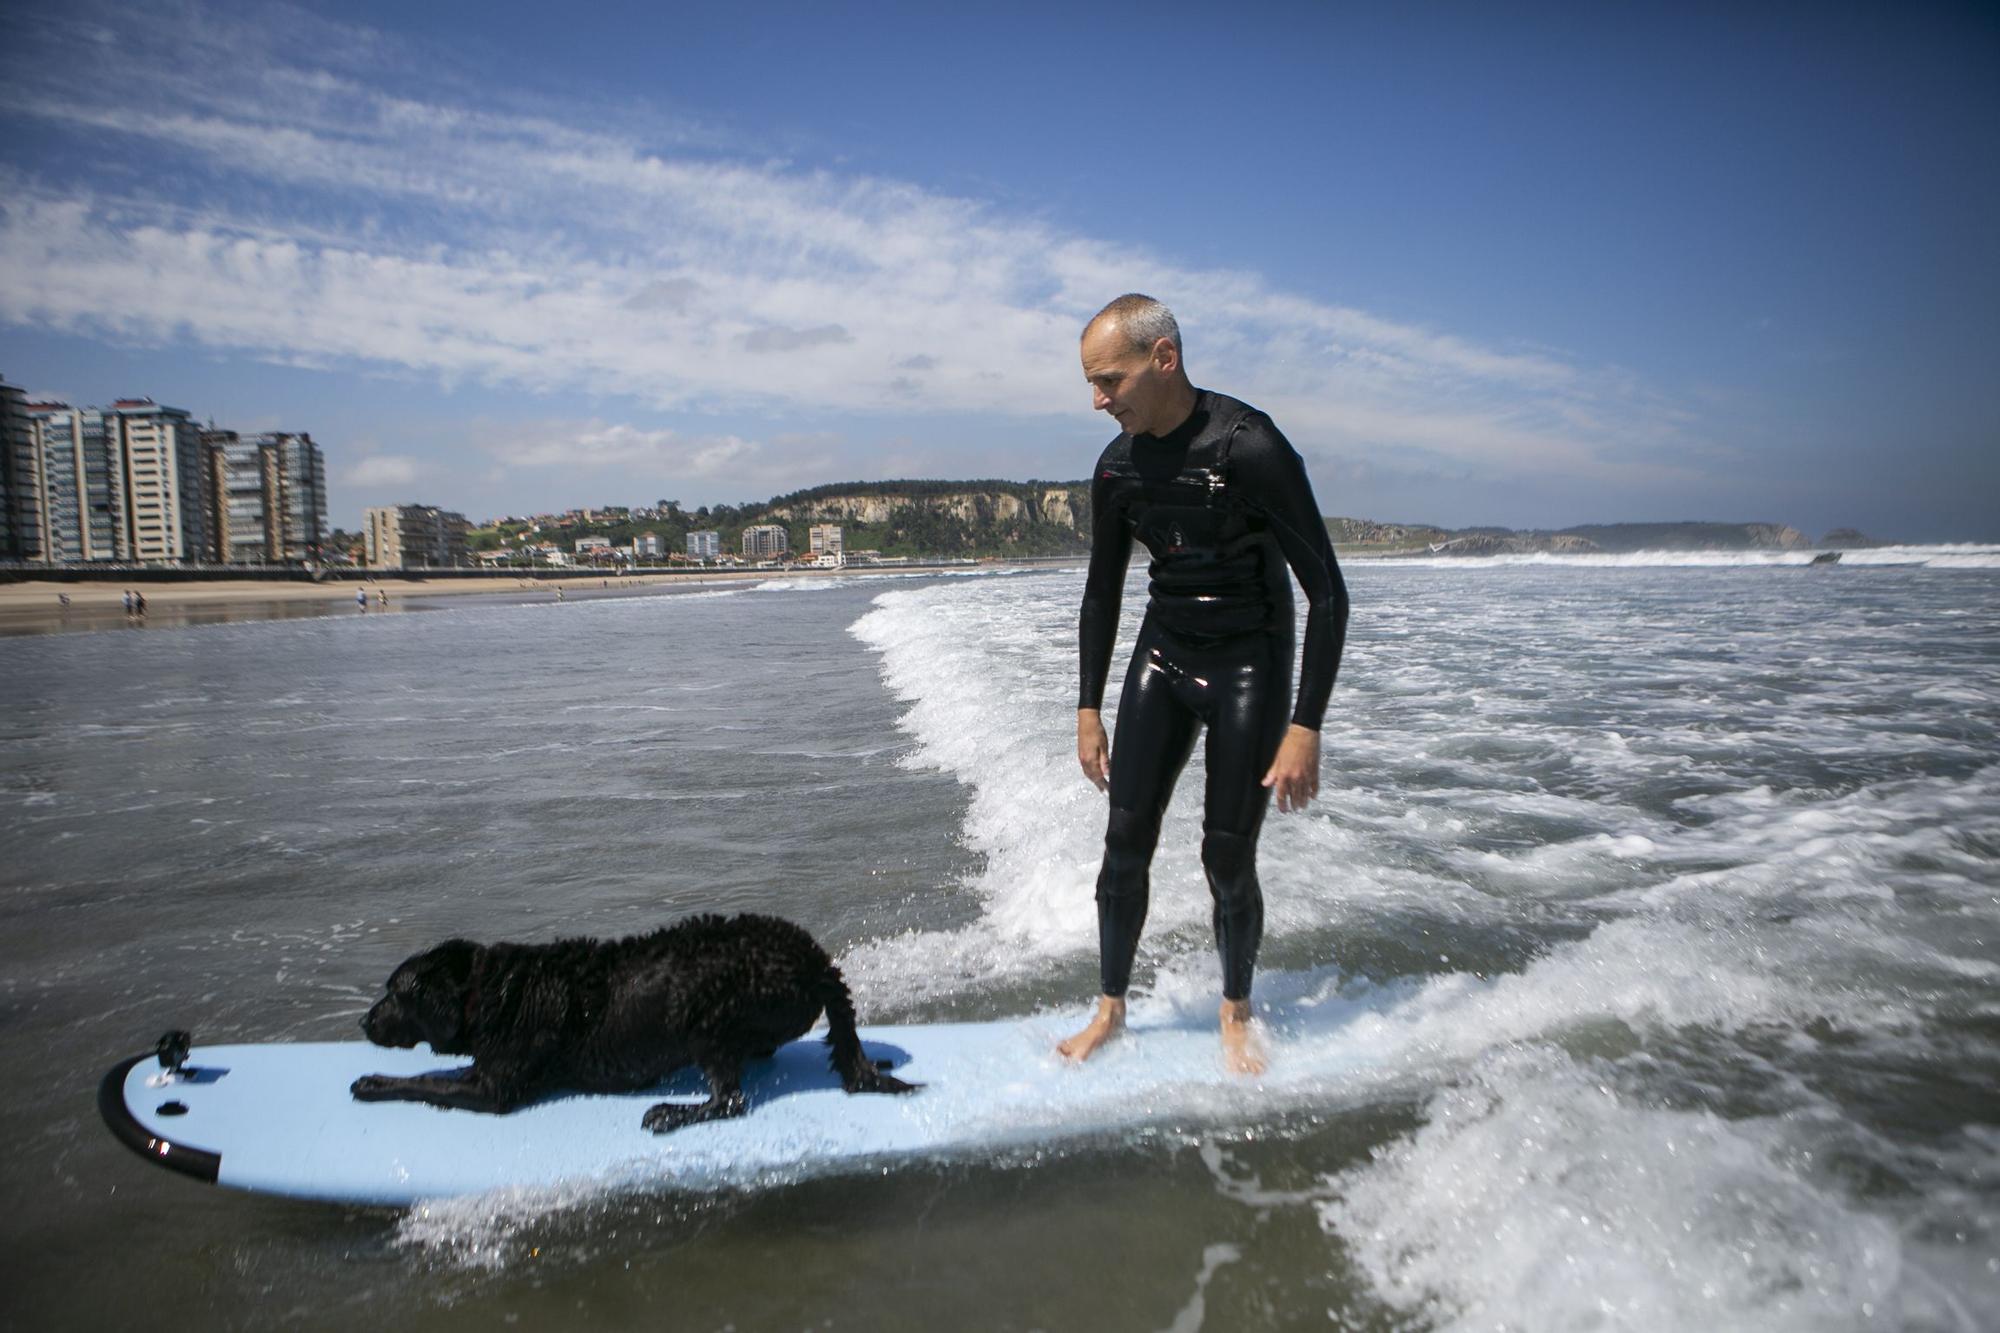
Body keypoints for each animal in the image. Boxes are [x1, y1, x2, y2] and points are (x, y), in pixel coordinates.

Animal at [354, 908, 920, 1128]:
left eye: (393, 994)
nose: (363, 1023)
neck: (490, 991)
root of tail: (816, 960)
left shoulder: (495, 1086)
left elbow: (428, 1082)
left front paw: (371, 1083)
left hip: (705, 1016)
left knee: (729, 1101)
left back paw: (671, 1112)